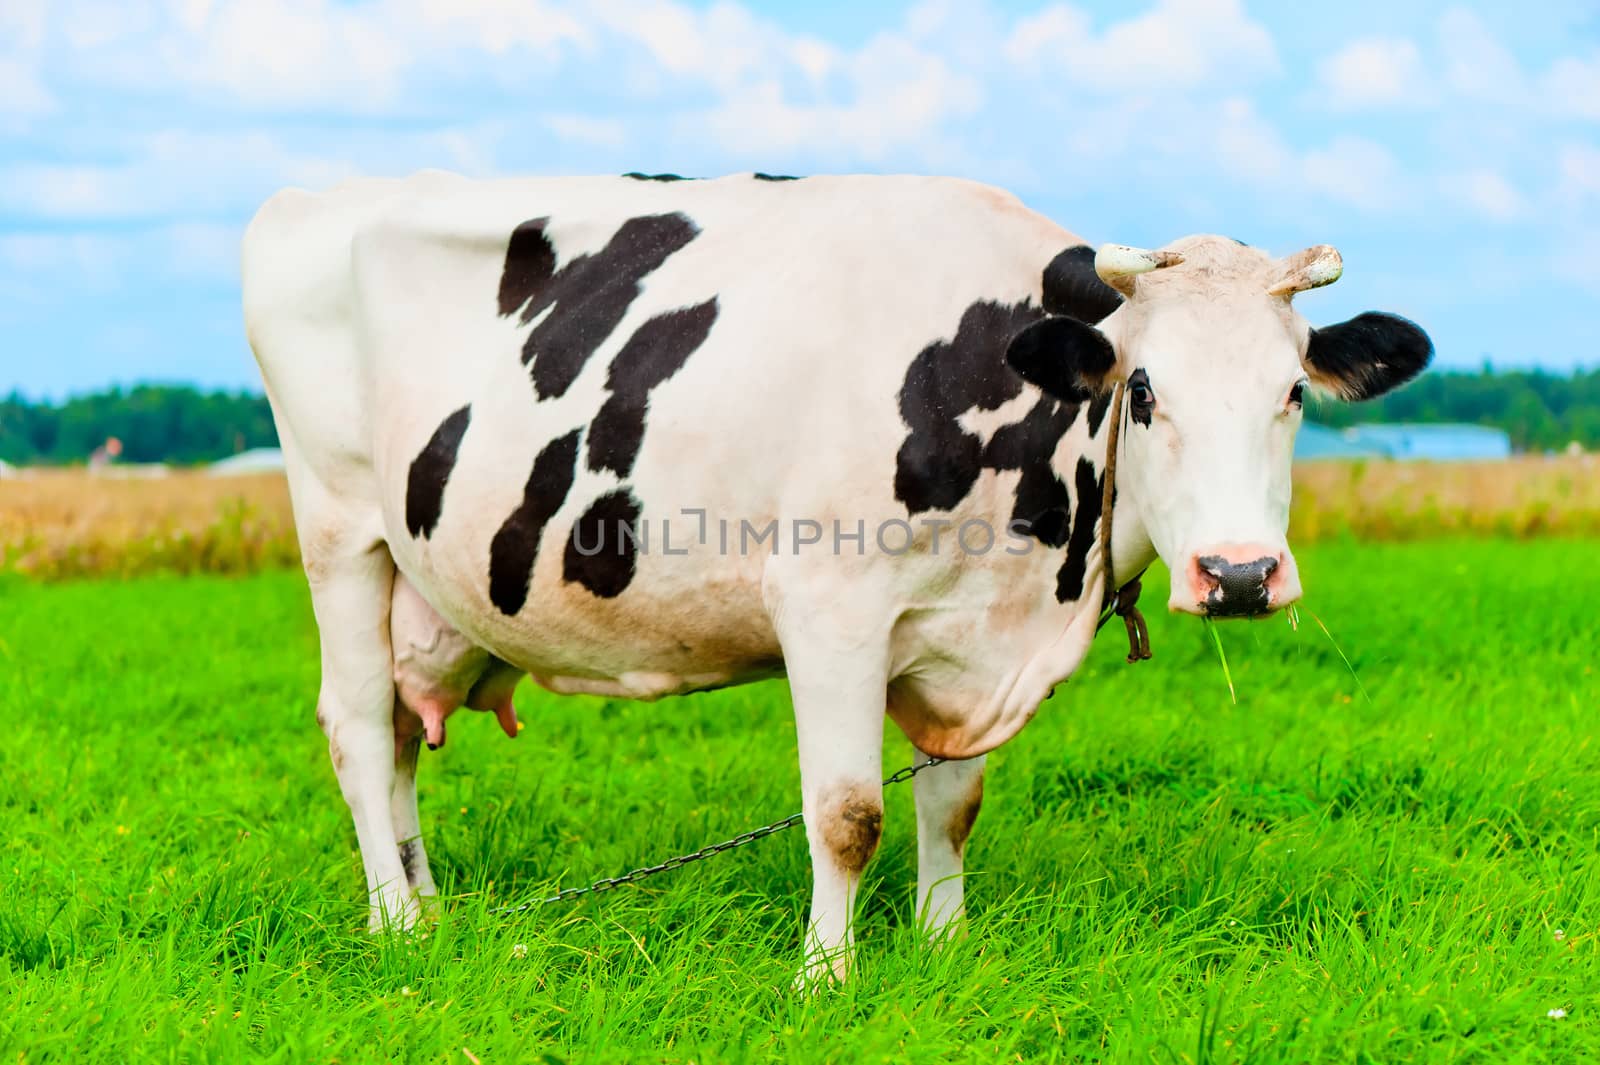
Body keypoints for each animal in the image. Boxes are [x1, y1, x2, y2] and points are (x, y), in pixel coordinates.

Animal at [243, 171, 1433, 978]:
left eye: (1292, 391)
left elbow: (952, 799)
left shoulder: (961, 640)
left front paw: (945, 943)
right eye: (1142, 389)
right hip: (341, 530)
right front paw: (827, 975)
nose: (1239, 574)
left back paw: (428, 905)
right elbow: (848, 811)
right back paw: (397, 927)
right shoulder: (827, 610)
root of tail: (316, 193)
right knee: (359, 728)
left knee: (404, 736)